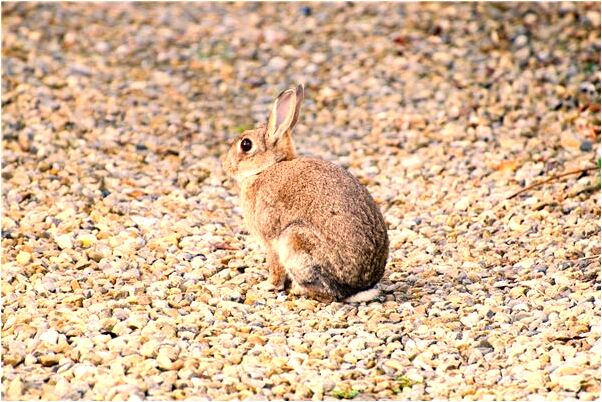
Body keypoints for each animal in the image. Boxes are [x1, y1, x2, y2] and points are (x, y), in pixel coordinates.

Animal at [221, 85, 390, 304]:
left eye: (246, 145)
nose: (225, 165)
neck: (268, 167)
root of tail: (356, 290)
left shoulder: (271, 241)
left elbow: (275, 267)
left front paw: (267, 286)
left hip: (295, 241)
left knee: (328, 293)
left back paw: (298, 290)